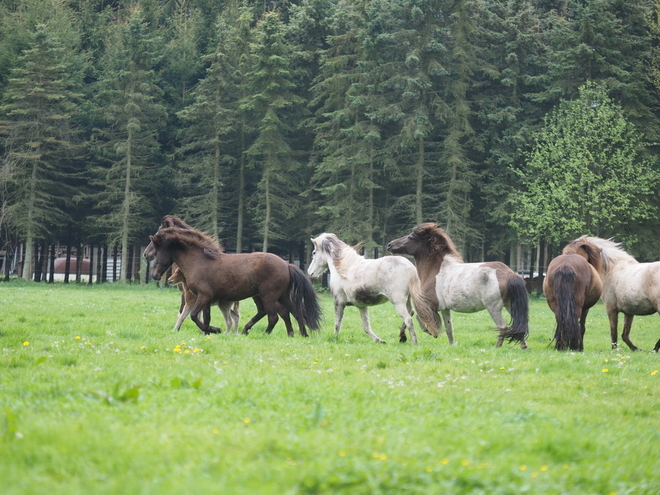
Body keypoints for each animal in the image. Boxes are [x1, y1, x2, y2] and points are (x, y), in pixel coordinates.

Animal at [145, 228, 322, 338]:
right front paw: (208, 332)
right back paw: (299, 334)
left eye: (157, 250)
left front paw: (215, 330)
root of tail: (287, 265)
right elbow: (206, 317)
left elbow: (194, 316)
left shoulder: (203, 296)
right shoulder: (208, 298)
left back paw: (263, 334)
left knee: (273, 317)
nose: (154, 275)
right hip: (278, 296)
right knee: (294, 312)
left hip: (268, 296)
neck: (199, 261)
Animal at [308, 233, 438, 344]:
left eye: (314, 252)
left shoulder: (339, 302)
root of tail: (409, 267)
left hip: (398, 302)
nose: (310, 272)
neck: (344, 269)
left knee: (409, 319)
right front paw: (379, 340)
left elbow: (337, 324)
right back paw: (408, 335)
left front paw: (334, 338)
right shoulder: (361, 306)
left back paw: (414, 342)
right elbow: (366, 327)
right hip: (408, 300)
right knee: (414, 313)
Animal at [390, 225, 528, 348]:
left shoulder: (432, 305)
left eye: (411, 237)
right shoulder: (445, 308)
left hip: (493, 307)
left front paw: (431, 332)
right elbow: (449, 328)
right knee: (518, 326)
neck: (436, 271)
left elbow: (419, 317)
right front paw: (451, 345)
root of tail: (509, 274)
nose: (390, 245)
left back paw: (497, 347)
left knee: (503, 327)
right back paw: (524, 347)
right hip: (510, 305)